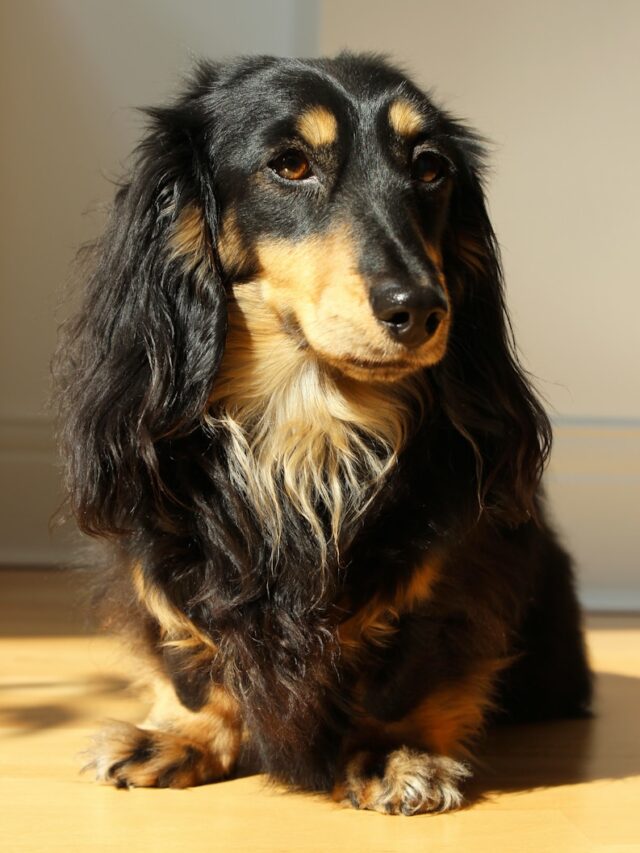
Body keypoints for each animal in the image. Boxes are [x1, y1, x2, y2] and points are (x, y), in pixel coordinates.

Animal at [57, 53, 592, 812]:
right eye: (290, 165)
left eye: (431, 168)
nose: (421, 309)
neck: (308, 425)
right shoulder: (161, 543)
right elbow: (186, 652)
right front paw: (185, 733)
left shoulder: (452, 566)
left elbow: (414, 666)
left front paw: (396, 750)